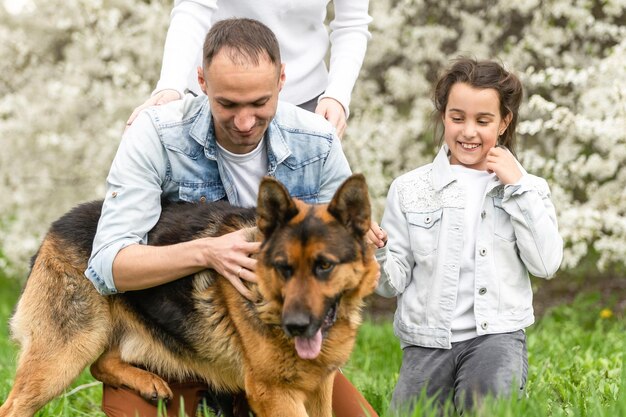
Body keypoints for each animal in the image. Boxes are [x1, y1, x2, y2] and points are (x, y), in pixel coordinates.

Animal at [0, 174, 376, 414]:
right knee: (15, 405)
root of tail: (55, 226)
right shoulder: (274, 393)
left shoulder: (319, 388)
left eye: (324, 266)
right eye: (283, 267)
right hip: (67, 352)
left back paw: (147, 382)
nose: (296, 325)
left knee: (102, 363)